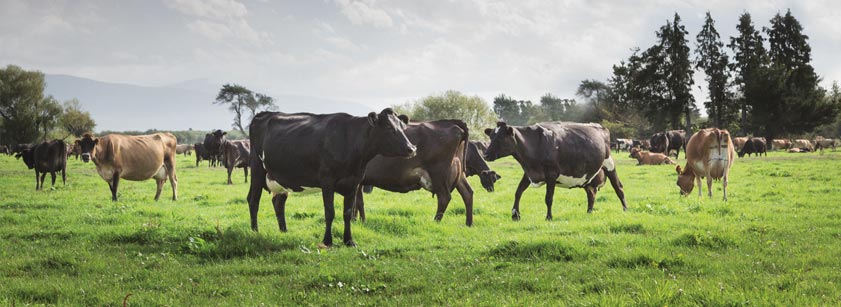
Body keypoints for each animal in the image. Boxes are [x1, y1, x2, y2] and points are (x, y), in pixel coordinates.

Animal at [246, 108, 416, 248]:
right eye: (388, 128)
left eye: (402, 127)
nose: (412, 148)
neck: (350, 141)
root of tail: (264, 114)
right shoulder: (327, 181)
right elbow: (330, 212)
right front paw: (327, 241)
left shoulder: (354, 182)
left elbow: (347, 213)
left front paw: (349, 241)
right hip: (257, 168)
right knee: (253, 200)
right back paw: (255, 232)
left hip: (281, 178)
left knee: (278, 202)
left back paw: (284, 231)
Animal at [482, 121, 628, 220]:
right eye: (491, 137)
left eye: (500, 138)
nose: (485, 155)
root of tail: (599, 126)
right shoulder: (529, 173)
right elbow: (518, 192)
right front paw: (515, 214)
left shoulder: (551, 174)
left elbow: (548, 198)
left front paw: (549, 217)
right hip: (589, 176)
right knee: (591, 193)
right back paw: (589, 212)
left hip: (609, 163)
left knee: (618, 187)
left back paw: (625, 210)